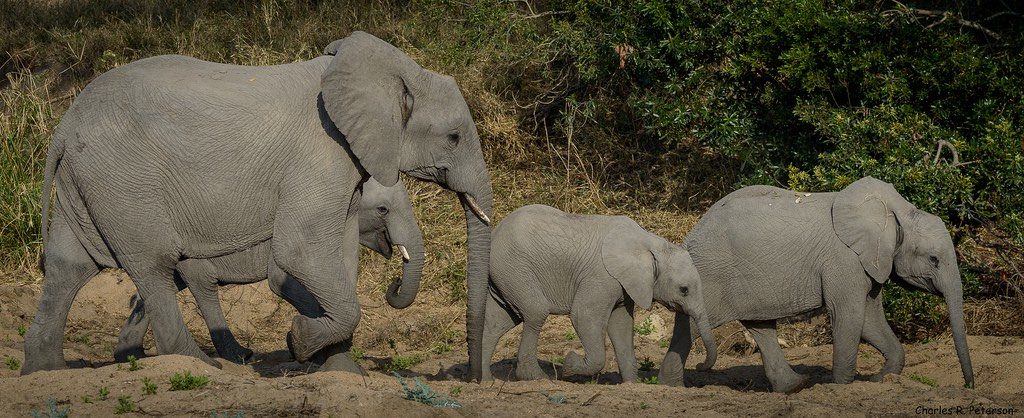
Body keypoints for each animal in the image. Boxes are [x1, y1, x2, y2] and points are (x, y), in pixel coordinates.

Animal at [114, 177, 425, 364]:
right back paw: (239, 355)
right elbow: (281, 281)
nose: (395, 282)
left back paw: (130, 356)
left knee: (160, 287)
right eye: (383, 210)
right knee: (201, 285)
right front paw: (307, 349)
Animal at [481, 204, 716, 381]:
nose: (700, 366)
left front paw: (631, 384)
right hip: (514, 268)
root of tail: (496, 232)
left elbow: (621, 325)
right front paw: (569, 364)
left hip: (505, 275)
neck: (650, 242)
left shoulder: (624, 285)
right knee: (535, 312)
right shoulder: (602, 277)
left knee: (497, 322)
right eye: (684, 290)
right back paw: (536, 377)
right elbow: (584, 316)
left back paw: (484, 380)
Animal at [655, 175, 974, 391]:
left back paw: (795, 386)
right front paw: (844, 387)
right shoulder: (844, 260)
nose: (968, 387)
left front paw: (882, 380)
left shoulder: (870, 262)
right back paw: (672, 389)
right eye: (934, 259)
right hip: (712, 274)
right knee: (693, 325)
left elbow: (870, 319)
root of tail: (692, 234)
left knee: (760, 326)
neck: (896, 210)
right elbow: (850, 316)